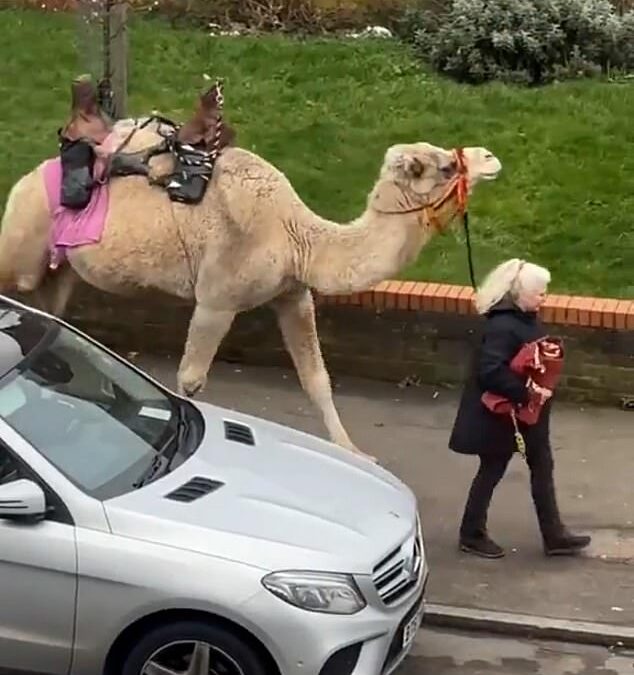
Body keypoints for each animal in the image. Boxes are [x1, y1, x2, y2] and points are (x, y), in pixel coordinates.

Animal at [0, 95, 502, 459]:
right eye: (444, 165)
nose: (490, 156)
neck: (296, 235)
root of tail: (25, 179)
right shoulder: (216, 298)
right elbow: (190, 379)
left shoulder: (293, 295)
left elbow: (317, 378)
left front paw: (357, 452)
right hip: (22, 244)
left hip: (60, 269)